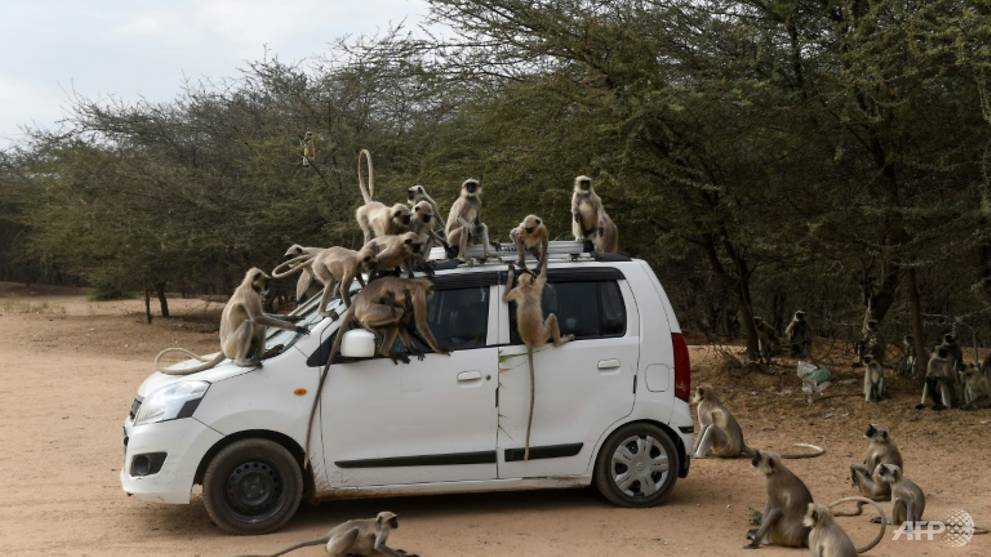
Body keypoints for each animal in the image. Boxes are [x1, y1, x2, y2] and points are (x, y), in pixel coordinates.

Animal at [154, 268, 309, 375]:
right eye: (267, 281)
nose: (268, 288)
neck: (247, 285)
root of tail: (224, 348)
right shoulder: (251, 294)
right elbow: (258, 317)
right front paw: (295, 327)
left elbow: (262, 316)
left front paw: (292, 318)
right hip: (232, 347)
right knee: (249, 324)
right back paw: (242, 361)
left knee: (258, 327)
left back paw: (263, 354)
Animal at [503, 264, 574, 460]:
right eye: (531, 278)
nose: (530, 276)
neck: (526, 288)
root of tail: (530, 341)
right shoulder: (534, 288)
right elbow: (543, 278)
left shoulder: (519, 290)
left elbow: (505, 299)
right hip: (544, 335)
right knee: (551, 317)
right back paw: (559, 342)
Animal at [691, 386, 824, 459]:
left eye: (695, 393)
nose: (692, 398)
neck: (709, 397)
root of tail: (741, 444)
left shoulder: (701, 407)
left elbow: (705, 426)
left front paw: (693, 452)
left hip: (726, 447)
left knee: (712, 428)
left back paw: (699, 455)